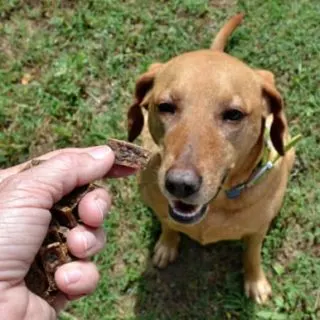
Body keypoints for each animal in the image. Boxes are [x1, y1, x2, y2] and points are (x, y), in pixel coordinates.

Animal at [125, 13, 296, 304]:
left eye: (234, 114)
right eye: (165, 107)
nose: (180, 185)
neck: (216, 206)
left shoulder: (256, 230)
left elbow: (252, 253)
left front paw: (255, 281)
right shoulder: (161, 208)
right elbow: (168, 224)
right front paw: (167, 244)